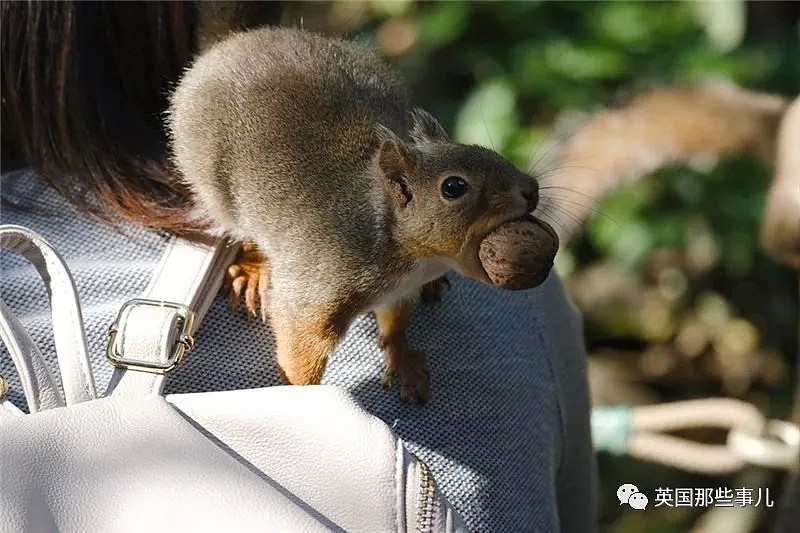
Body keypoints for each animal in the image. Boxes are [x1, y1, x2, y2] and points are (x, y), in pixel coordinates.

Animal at [168, 27, 552, 402]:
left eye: (491, 152)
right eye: (454, 187)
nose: (531, 188)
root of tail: (224, 49)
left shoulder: (399, 291)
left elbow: (394, 322)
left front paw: (402, 357)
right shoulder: (319, 288)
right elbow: (300, 344)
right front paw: (306, 400)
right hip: (213, 185)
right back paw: (252, 269)